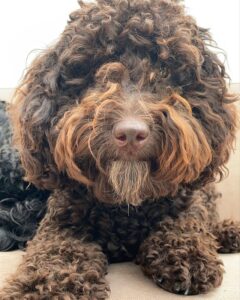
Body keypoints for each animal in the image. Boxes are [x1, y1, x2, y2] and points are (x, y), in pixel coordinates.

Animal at [0, 1, 240, 298]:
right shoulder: (60, 222)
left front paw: (187, 253)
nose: (131, 133)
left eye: (164, 70)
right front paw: (45, 285)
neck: (126, 205)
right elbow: (56, 250)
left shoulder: (187, 203)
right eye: (97, 70)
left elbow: (186, 222)